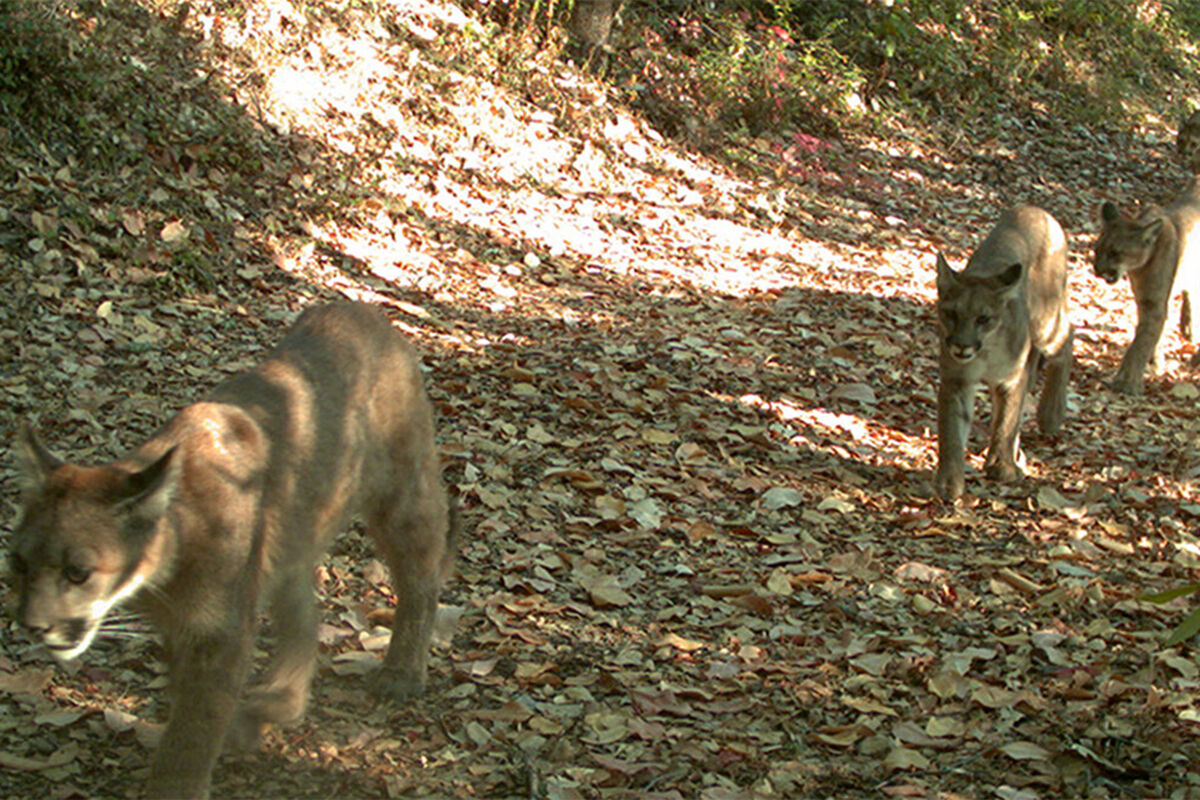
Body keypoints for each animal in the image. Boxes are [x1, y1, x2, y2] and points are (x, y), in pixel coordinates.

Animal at [931, 205, 1075, 501]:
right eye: (951, 314)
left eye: (983, 319)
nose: (961, 345)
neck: (986, 351)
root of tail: (1036, 209)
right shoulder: (957, 380)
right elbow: (952, 430)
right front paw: (949, 482)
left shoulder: (1011, 378)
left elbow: (1006, 421)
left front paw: (1001, 467)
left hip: (1046, 323)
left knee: (1068, 335)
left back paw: (1051, 412)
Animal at [1094, 181, 1200, 393]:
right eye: (1097, 249)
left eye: (1115, 253)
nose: (1097, 270)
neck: (1139, 267)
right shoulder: (1145, 300)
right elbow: (1151, 334)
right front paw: (1155, 363)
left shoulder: (1154, 304)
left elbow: (1142, 341)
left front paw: (1126, 382)